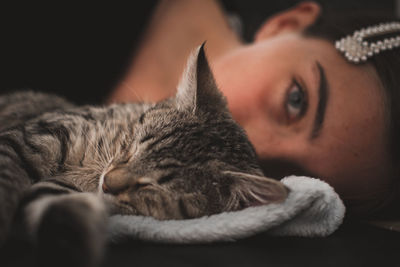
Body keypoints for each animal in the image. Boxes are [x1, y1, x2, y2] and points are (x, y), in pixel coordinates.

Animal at [0, 45, 288, 266]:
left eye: (150, 186)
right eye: (136, 146)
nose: (106, 183)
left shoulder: (57, 189)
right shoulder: (31, 138)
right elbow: (6, 181)